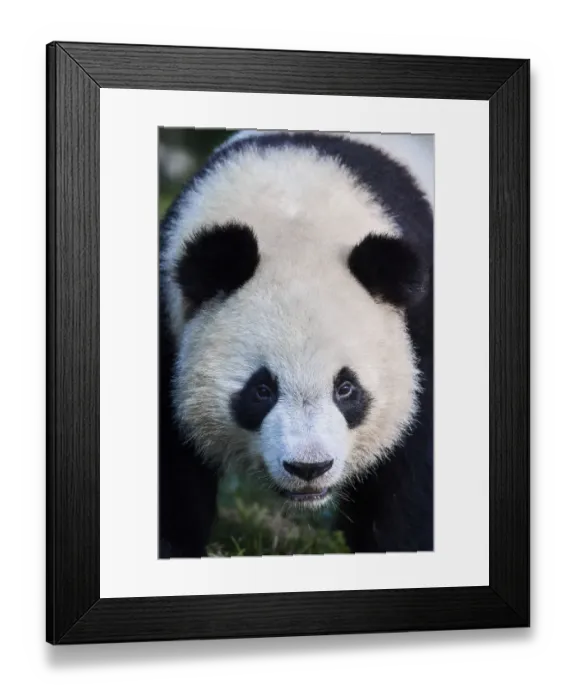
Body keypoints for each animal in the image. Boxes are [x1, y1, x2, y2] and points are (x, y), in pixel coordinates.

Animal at [158, 129, 434, 558]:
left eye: (346, 388)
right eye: (261, 390)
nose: (309, 468)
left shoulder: (418, 332)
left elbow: (405, 485)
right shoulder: (170, 327)